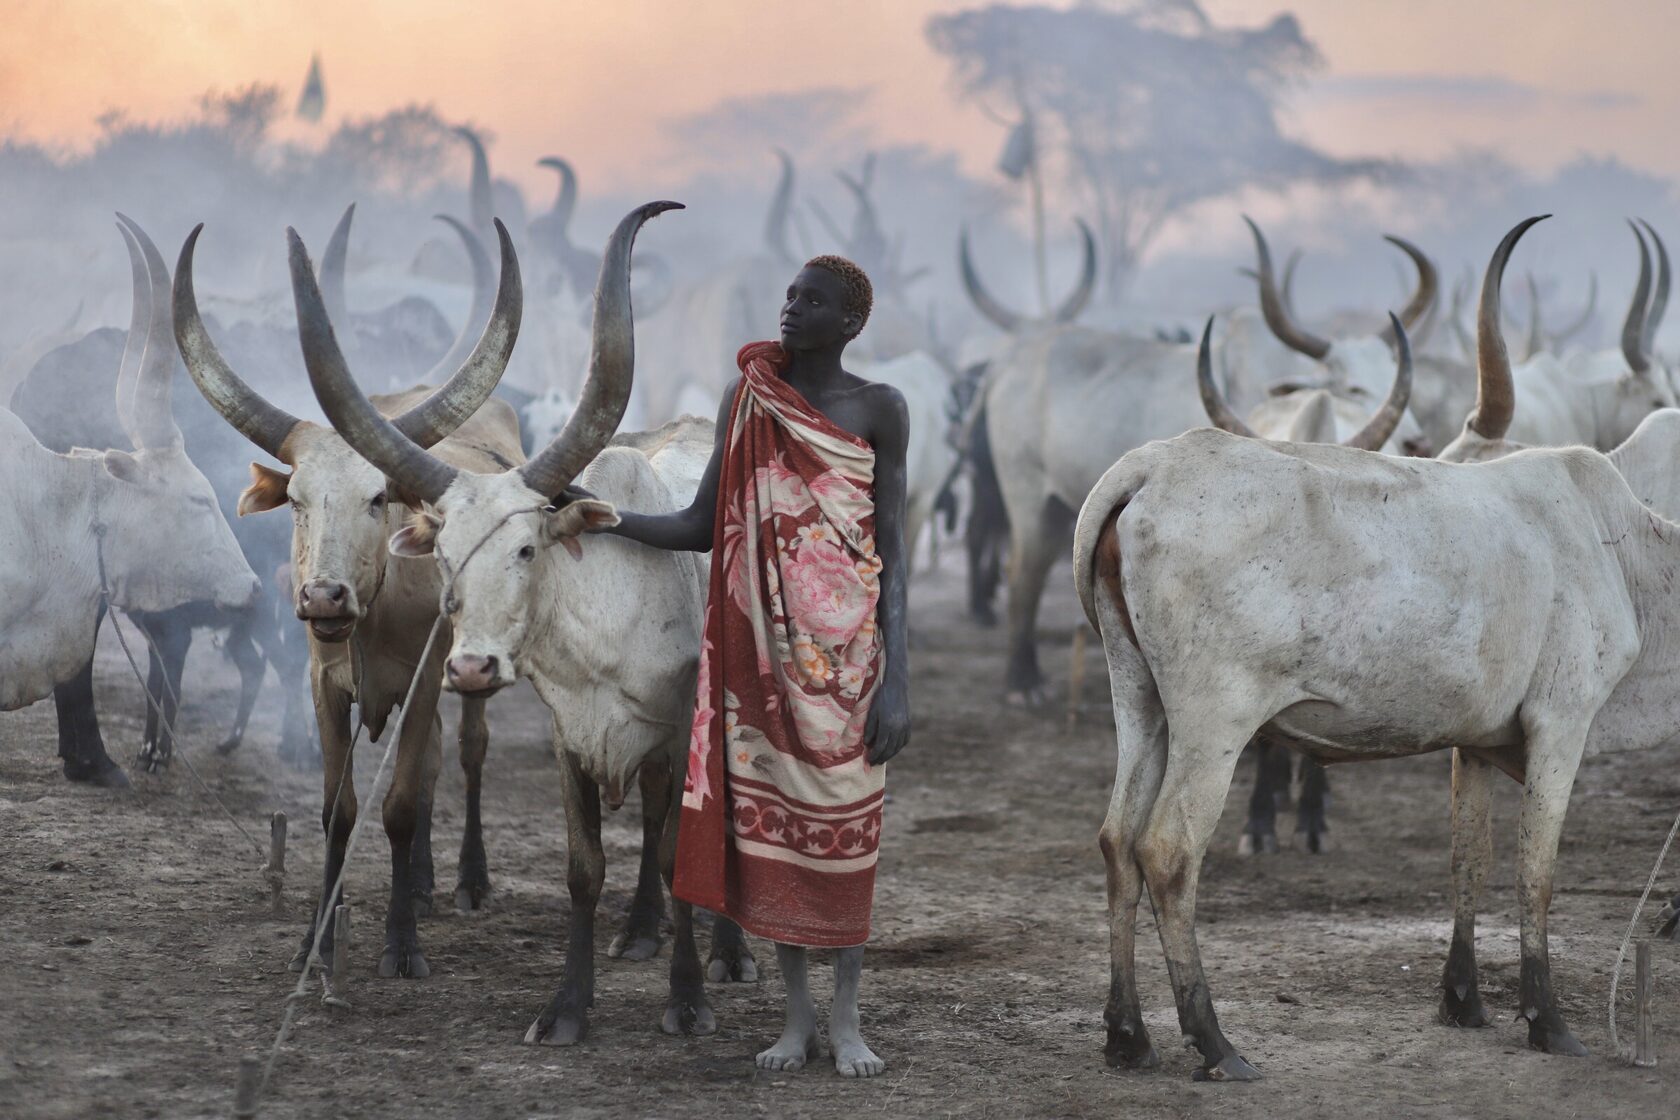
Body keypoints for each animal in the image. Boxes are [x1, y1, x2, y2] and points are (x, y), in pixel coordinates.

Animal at [174, 215, 527, 975]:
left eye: (376, 499)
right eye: (298, 501)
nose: (325, 598)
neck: (374, 616)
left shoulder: (424, 679)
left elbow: (398, 807)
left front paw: (402, 946)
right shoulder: (324, 686)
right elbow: (338, 811)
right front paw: (317, 943)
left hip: (472, 667)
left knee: (466, 751)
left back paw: (466, 879)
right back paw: (422, 881)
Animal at [298, 200, 755, 1045]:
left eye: (525, 547)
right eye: (443, 554)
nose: (471, 667)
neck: (609, 618)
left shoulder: (681, 733)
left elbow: (680, 854)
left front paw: (686, 1001)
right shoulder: (571, 736)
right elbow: (584, 870)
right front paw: (568, 1007)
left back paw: (727, 953)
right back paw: (640, 930)